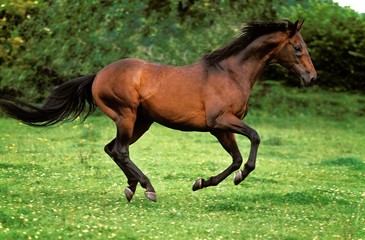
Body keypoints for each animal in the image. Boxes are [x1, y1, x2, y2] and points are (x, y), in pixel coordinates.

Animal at [0, 20, 316, 202]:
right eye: (297, 48)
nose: (311, 78)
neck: (230, 73)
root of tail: (99, 75)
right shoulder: (221, 121)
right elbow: (254, 139)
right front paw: (237, 177)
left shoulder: (220, 129)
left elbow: (236, 158)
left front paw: (202, 183)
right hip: (126, 115)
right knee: (120, 150)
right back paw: (148, 188)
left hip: (141, 122)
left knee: (112, 149)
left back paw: (131, 188)